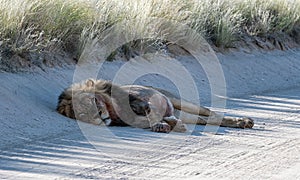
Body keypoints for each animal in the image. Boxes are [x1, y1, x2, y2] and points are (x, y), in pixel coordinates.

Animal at [56, 79, 253, 133]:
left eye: (93, 101)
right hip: (186, 114)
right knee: (207, 119)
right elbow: (148, 121)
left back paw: (243, 121)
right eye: (82, 114)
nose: (99, 115)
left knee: (213, 114)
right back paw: (240, 123)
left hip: (180, 102)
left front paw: (164, 124)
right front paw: (165, 125)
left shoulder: (143, 100)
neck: (111, 111)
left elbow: (148, 111)